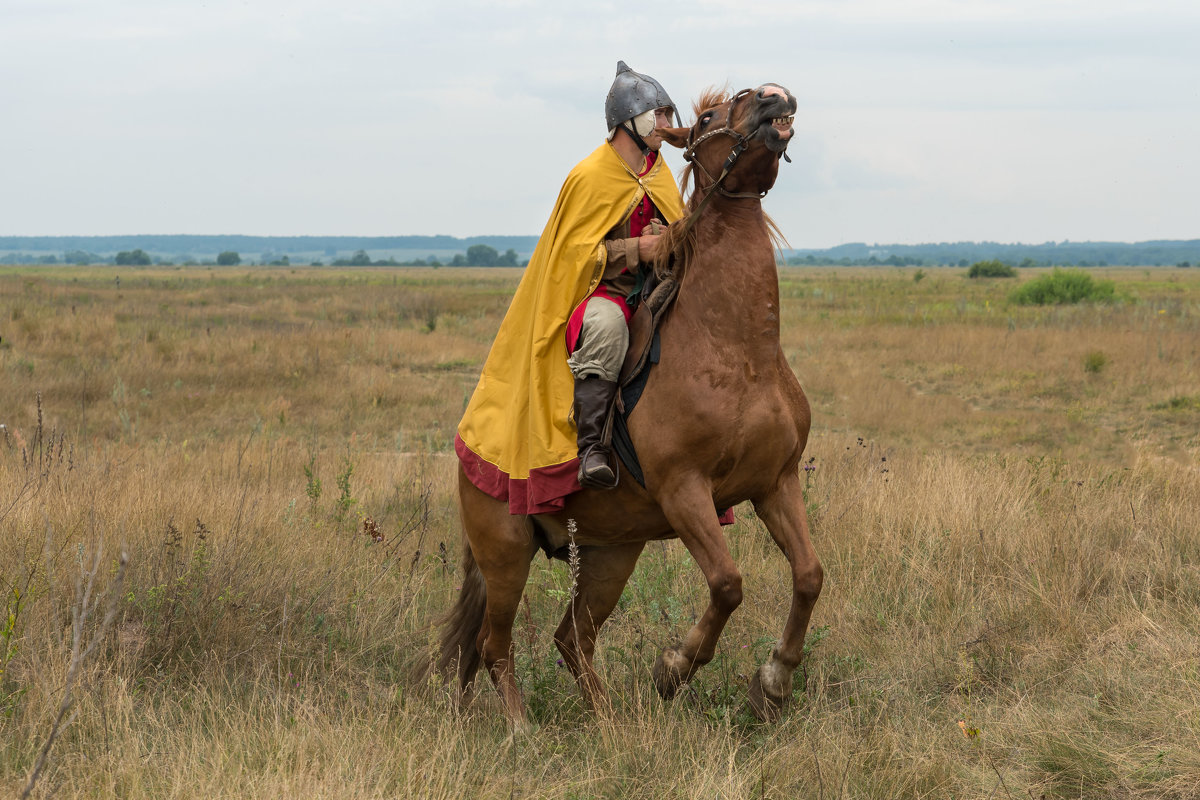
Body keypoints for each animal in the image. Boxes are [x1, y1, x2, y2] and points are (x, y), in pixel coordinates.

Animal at [441, 82, 825, 724]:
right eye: (708, 117)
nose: (775, 97)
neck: (737, 349)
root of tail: (470, 449)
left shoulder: (776, 483)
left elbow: (809, 575)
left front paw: (773, 682)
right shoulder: (684, 491)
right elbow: (728, 583)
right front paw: (675, 668)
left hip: (610, 555)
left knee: (572, 638)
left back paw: (609, 718)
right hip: (506, 556)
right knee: (497, 646)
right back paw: (522, 726)